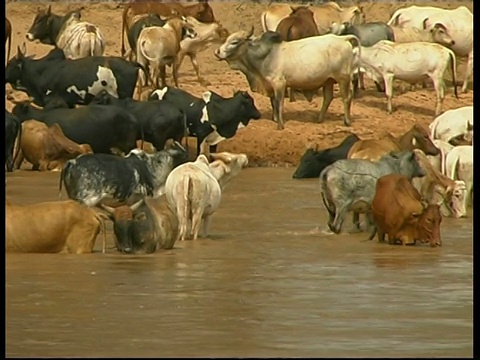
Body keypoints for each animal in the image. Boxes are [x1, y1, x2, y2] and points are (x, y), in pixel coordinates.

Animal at [215, 28, 360, 129]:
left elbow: (279, 102)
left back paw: (347, 121)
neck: (266, 55)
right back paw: (319, 119)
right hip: (328, 81)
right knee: (328, 98)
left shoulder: (279, 83)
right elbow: (273, 102)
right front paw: (274, 119)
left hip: (343, 79)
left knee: (346, 97)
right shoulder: (270, 85)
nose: (217, 52)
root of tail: (342, 39)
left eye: (234, 42)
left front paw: (280, 125)